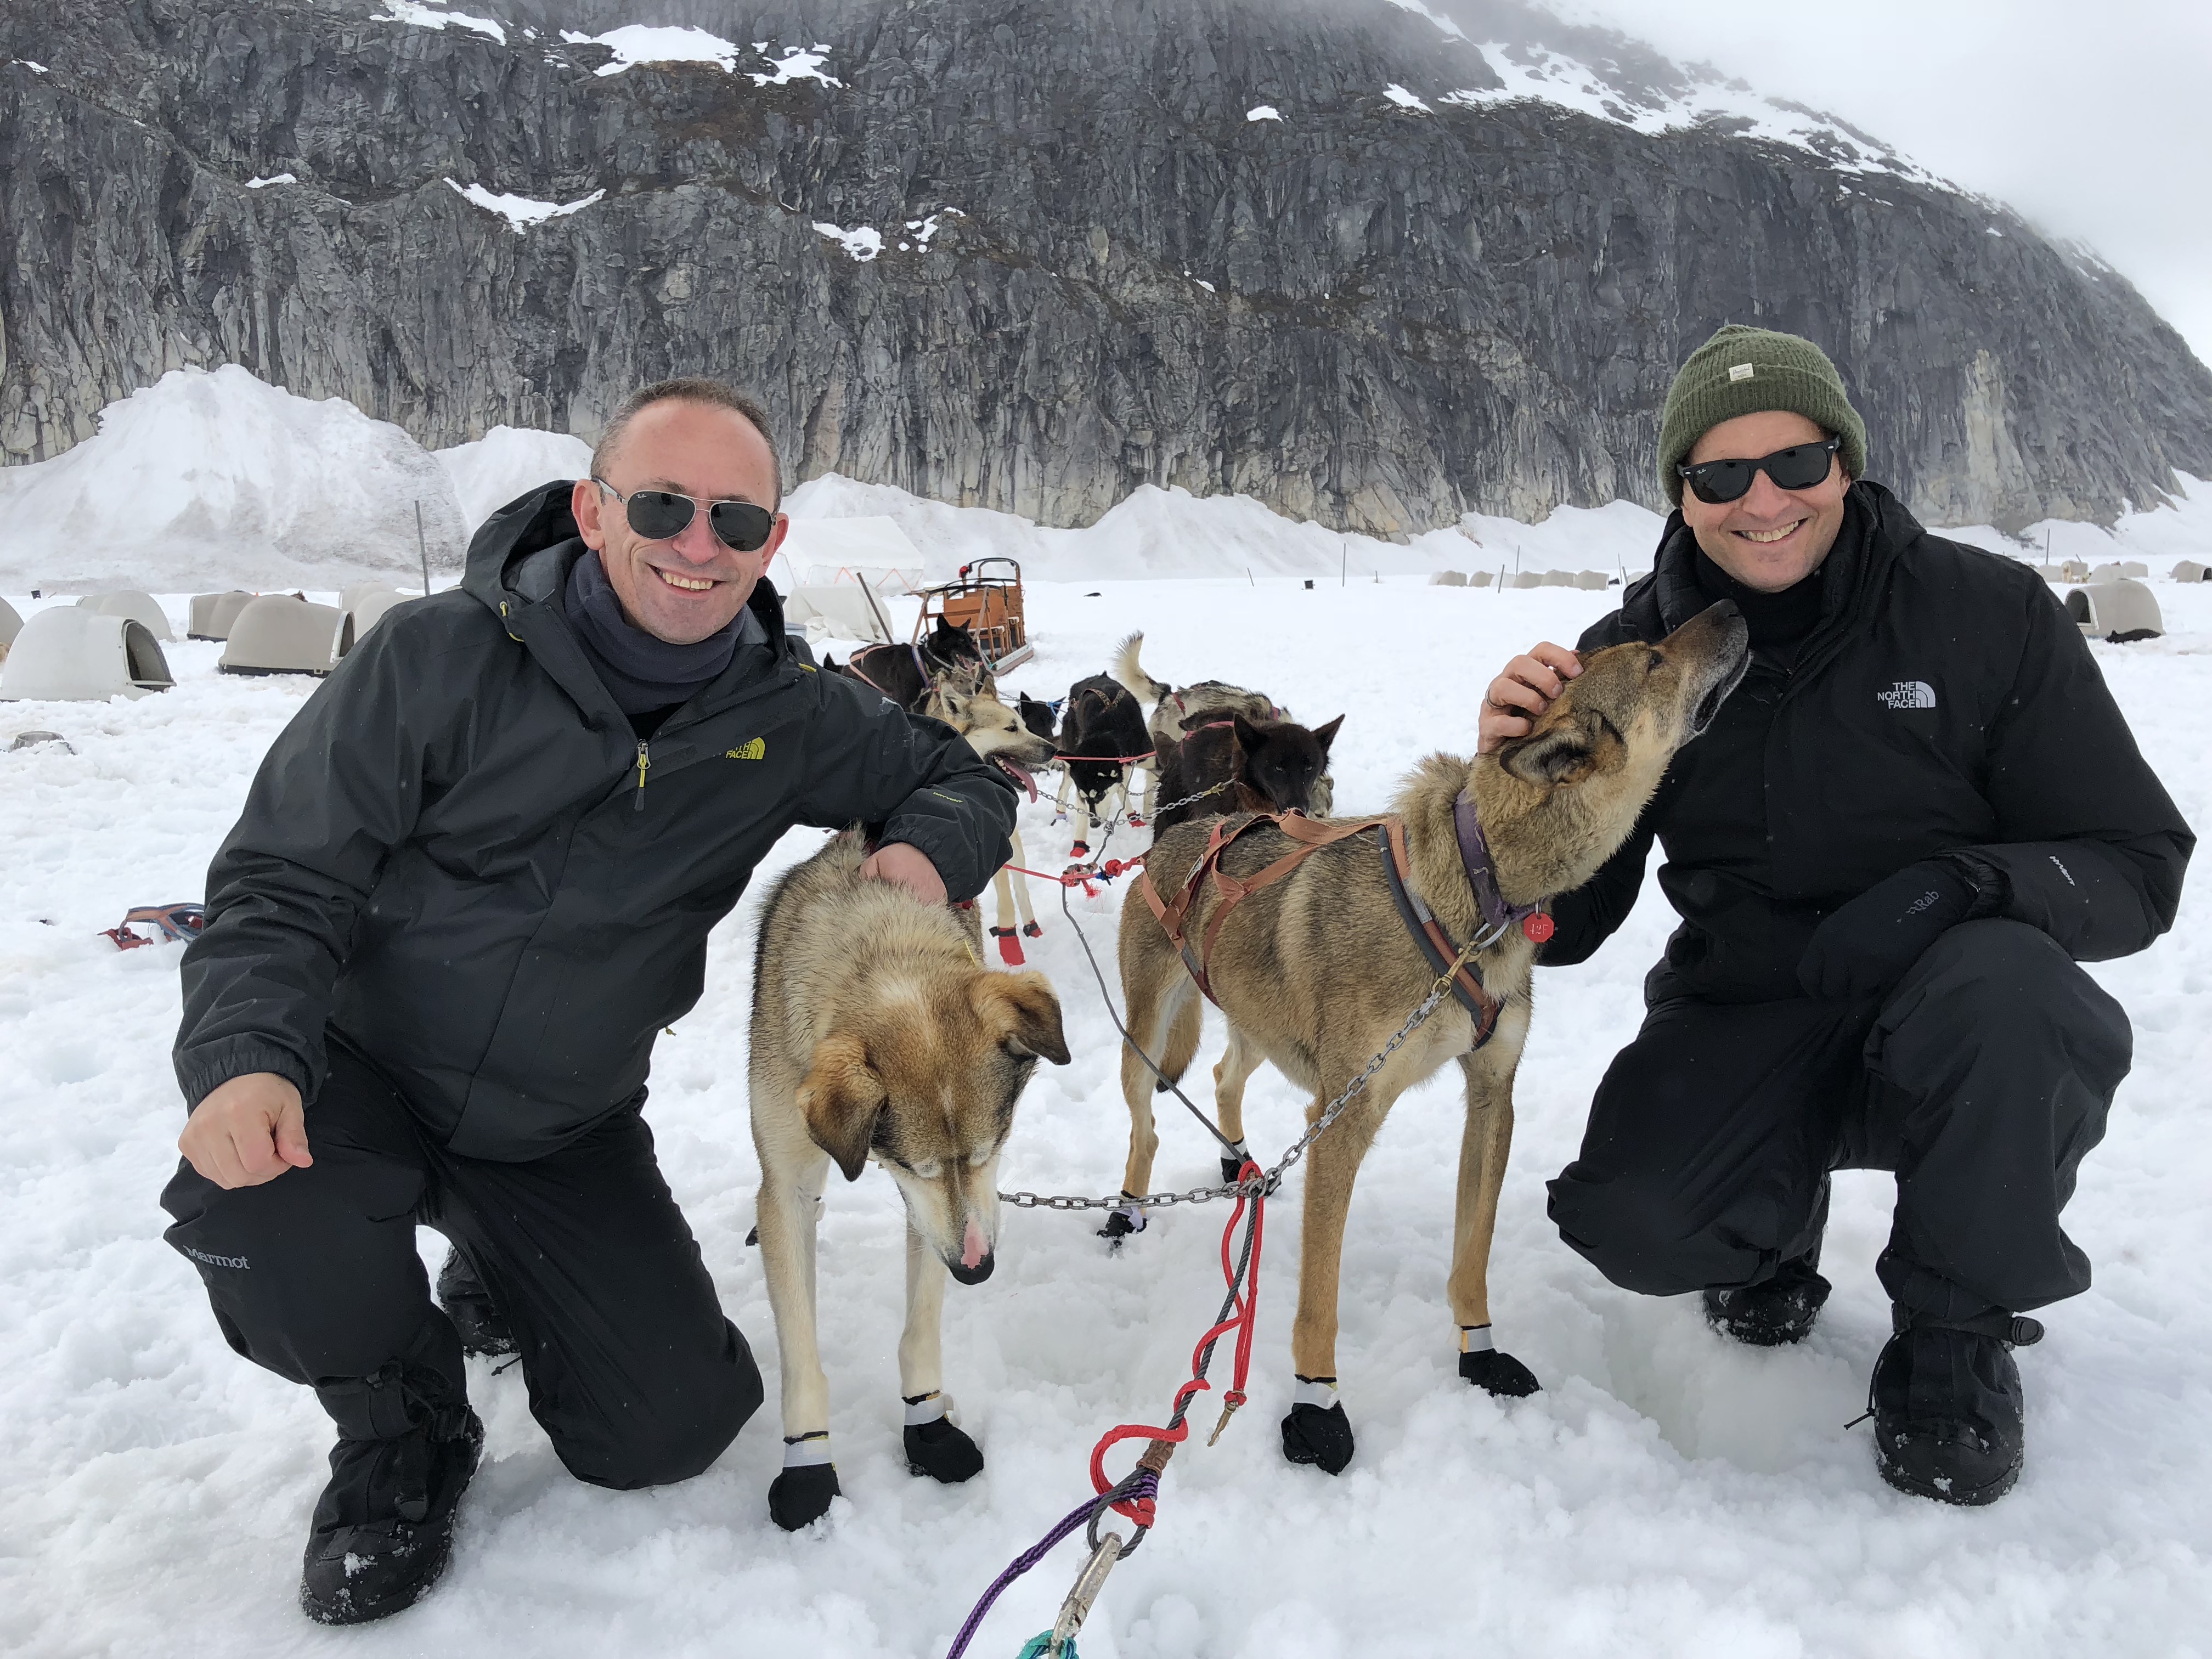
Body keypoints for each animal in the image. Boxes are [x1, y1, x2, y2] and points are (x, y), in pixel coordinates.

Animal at [747, 832, 1075, 1531]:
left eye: (992, 1148)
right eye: (912, 1165)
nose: (977, 1270)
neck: (882, 948)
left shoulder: (935, 1209)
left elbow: (921, 1322)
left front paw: (927, 1421)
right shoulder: (797, 1182)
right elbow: (801, 1352)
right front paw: (808, 1464)